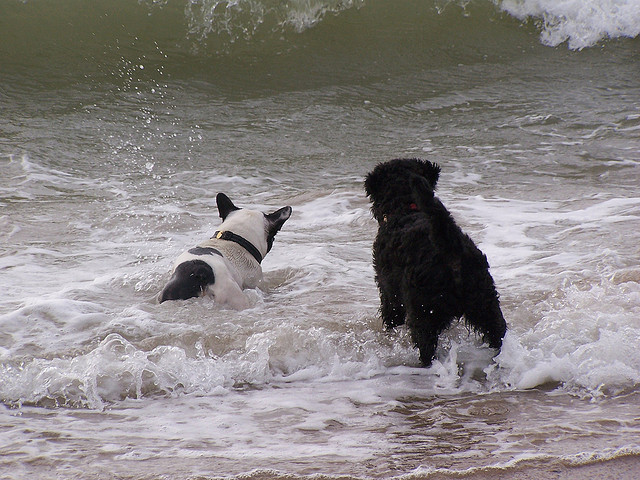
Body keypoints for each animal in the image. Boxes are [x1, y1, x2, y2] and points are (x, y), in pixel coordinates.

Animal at [365, 158, 506, 366]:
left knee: (426, 348)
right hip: (486, 304)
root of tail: (451, 247)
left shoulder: (389, 293)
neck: (405, 209)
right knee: (498, 333)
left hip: (423, 313)